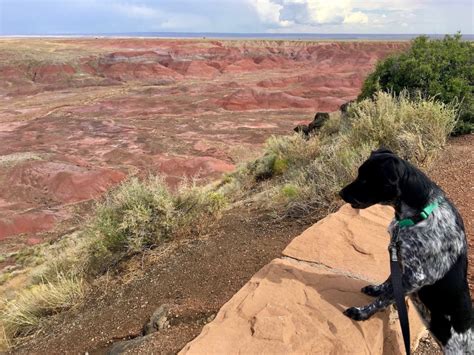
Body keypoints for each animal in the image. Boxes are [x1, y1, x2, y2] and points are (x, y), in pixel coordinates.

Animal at [338, 149, 472, 354]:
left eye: (366, 179)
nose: (340, 193)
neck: (419, 214)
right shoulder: (399, 259)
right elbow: (389, 283)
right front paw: (376, 289)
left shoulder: (416, 277)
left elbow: (386, 297)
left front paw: (361, 312)